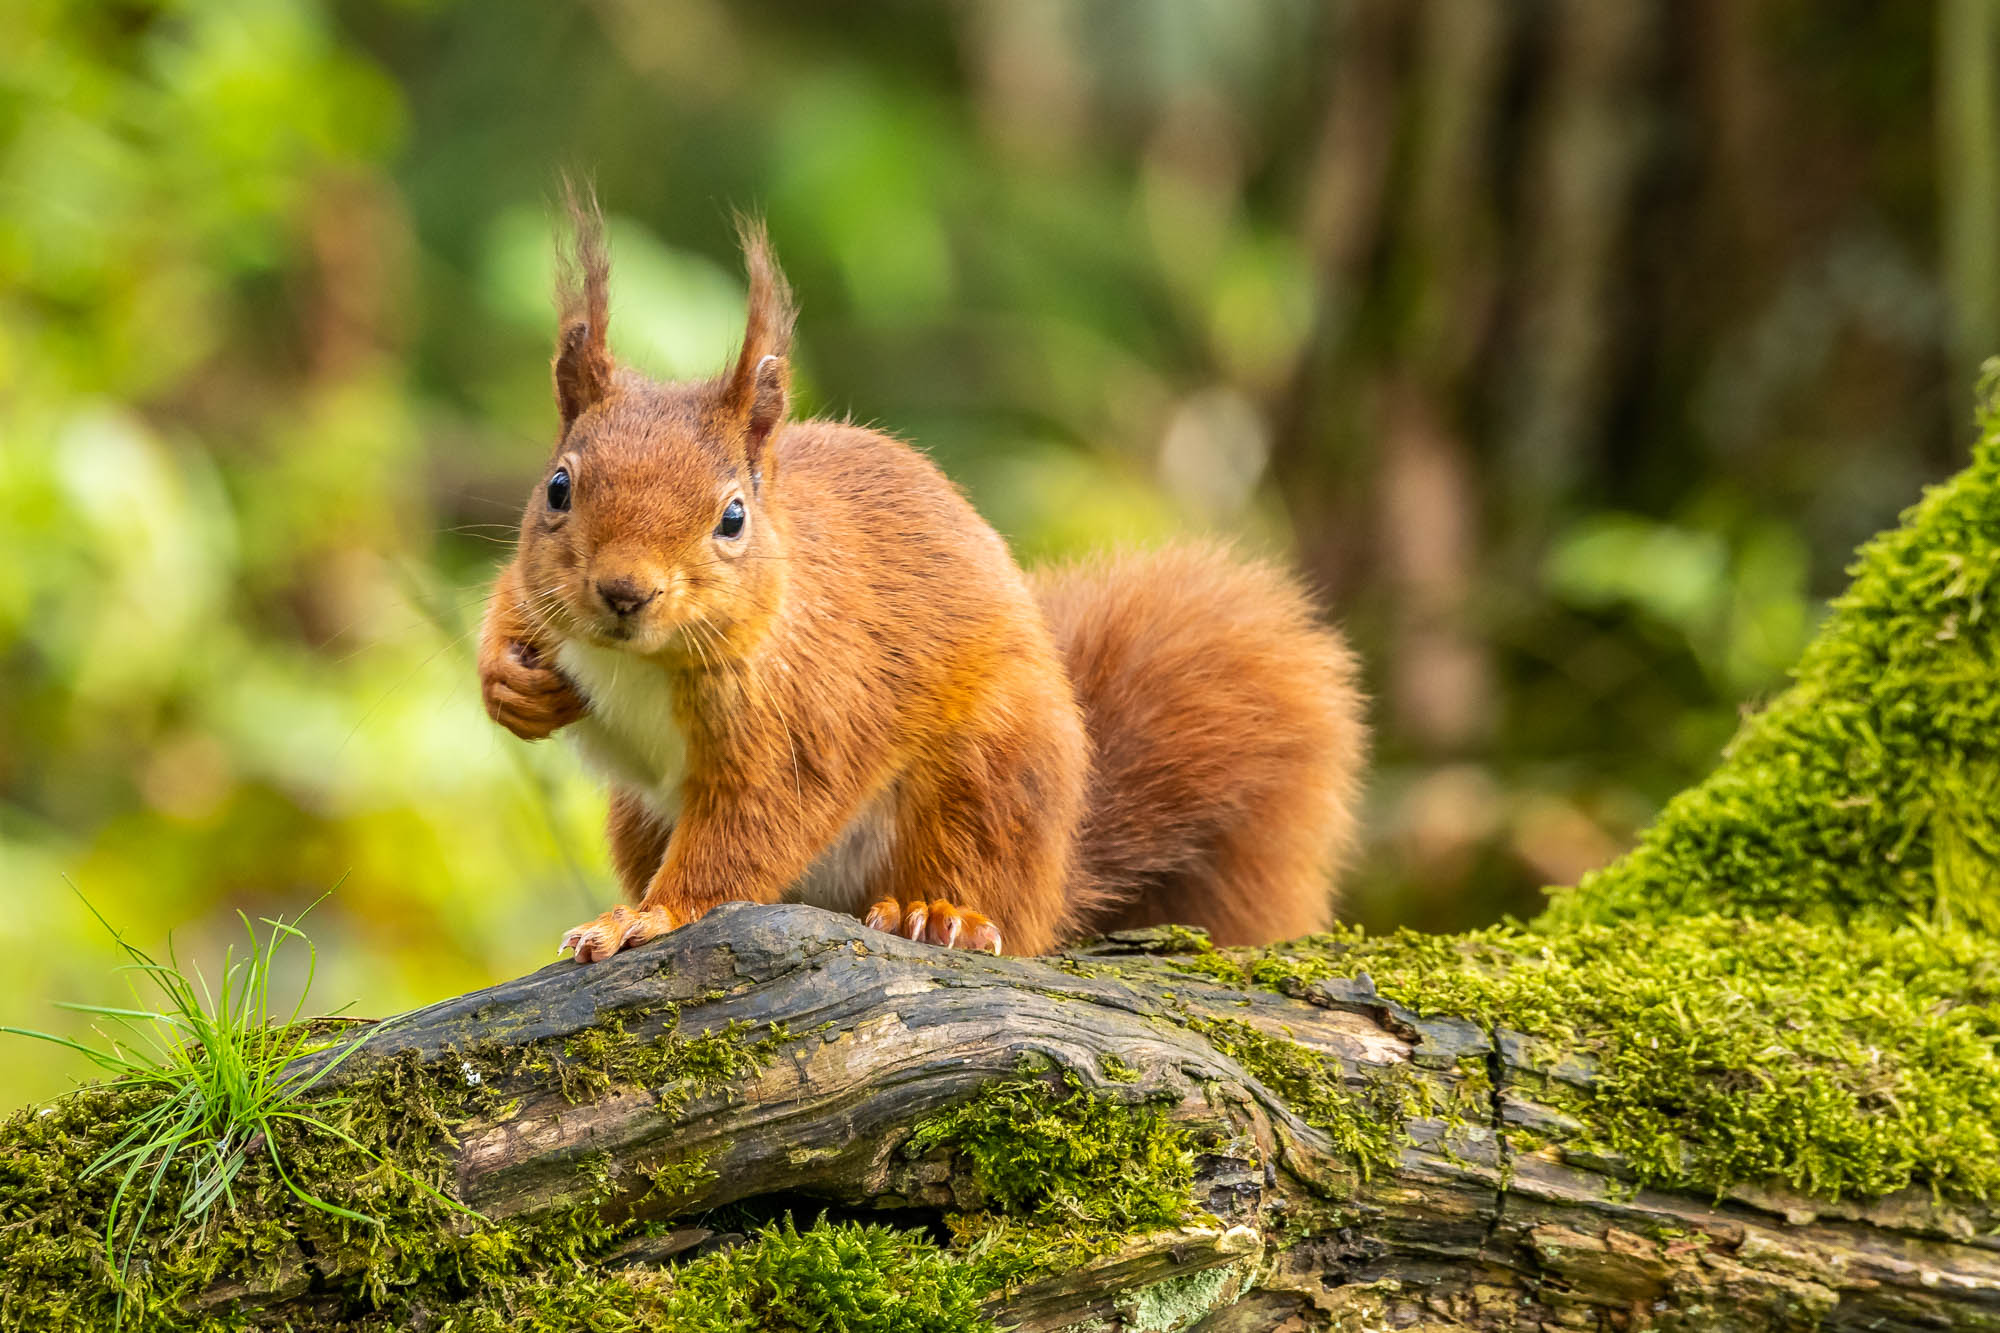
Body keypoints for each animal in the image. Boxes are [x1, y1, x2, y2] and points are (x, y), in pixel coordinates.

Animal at [478, 193, 1368, 964]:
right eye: (557, 487)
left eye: (732, 517)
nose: (624, 591)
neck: (642, 660)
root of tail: (1056, 882)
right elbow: (509, 608)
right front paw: (511, 683)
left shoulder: (809, 713)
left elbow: (747, 831)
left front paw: (652, 915)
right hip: (637, 817)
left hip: (989, 770)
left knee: (978, 870)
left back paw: (938, 913)